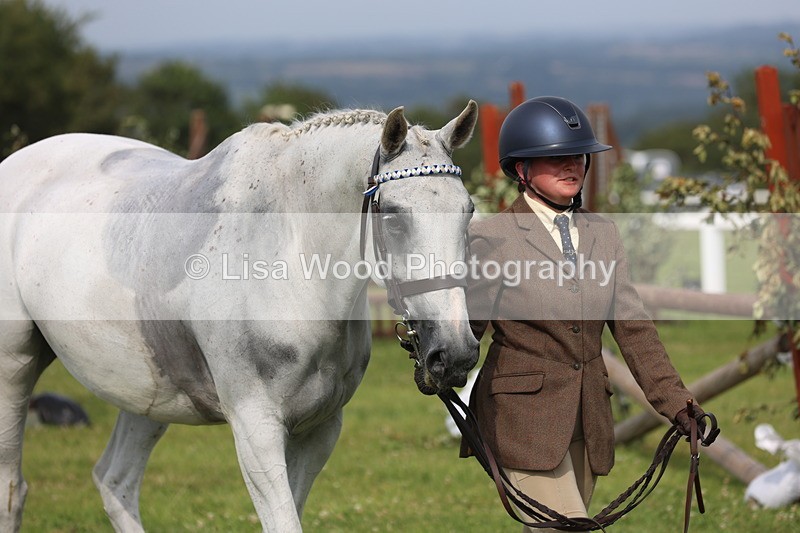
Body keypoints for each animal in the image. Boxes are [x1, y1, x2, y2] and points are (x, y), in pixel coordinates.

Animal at [0, 101, 480, 532]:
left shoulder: (319, 430)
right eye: (394, 218)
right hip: (15, 370)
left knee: (115, 482)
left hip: (148, 394)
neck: (291, 261)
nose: (454, 354)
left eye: (468, 211)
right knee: (13, 491)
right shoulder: (256, 429)